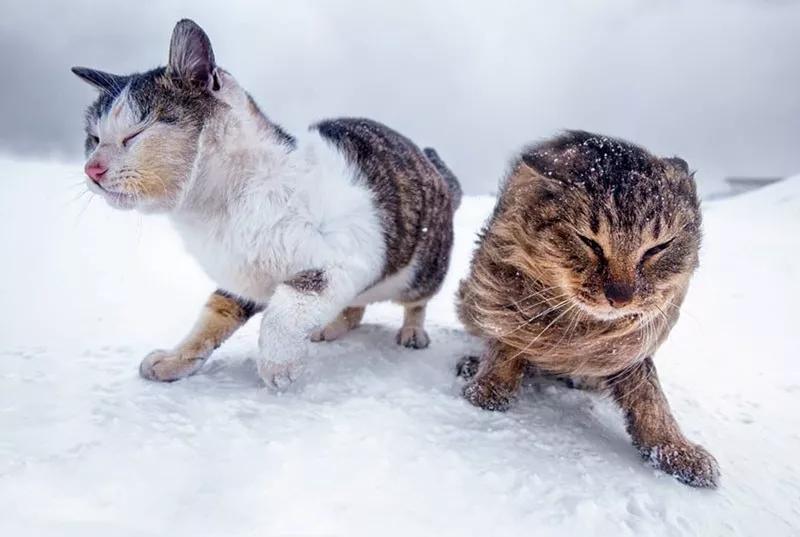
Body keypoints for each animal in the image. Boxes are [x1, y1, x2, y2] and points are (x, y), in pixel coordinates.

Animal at [75, 19, 462, 390]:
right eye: (93, 138)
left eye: (135, 134)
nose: (91, 168)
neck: (221, 205)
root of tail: (434, 169)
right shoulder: (242, 278)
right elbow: (213, 315)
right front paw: (176, 359)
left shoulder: (342, 259)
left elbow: (286, 308)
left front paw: (278, 364)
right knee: (356, 308)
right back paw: (333, 326)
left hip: (421, 270)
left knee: (416, 301)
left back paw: (411, 331)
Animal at [454, 130, 720, 486]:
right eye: (589, 242)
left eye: (657, 248)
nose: (620, 297)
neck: (580, 326)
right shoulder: (504, 293)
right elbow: (507, 344)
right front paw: (490, 386)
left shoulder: (629, 346)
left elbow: (651, 399)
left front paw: (674, 448)